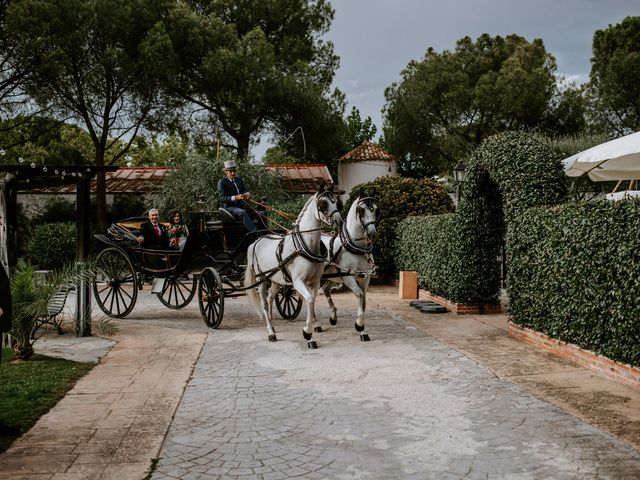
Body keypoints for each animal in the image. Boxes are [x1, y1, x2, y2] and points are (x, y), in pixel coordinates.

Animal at [244, 185, 342, 348]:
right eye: (323, 203)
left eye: (336, 202)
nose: (339, 222)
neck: (305, 246)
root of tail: (256, 241)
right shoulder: (298, 282)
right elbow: (309, 300)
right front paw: (308, 334)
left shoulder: (314, 282)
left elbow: (312, 301)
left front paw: (313, 328)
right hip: (261, 279)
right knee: (264, 303)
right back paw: (270, 332)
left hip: (276, 280)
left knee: (271, 298)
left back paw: (273, 326)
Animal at [322, 195, 378, 342]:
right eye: (361, 210)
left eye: (376, 209)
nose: (372, 233)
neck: (358, 249)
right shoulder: (348, 278)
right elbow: (359, 294)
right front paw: (359, 325)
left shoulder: (365, 278)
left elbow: (363, 301)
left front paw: (363, 332)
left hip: (333, 276)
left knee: (325, 289)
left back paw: (333, 317)